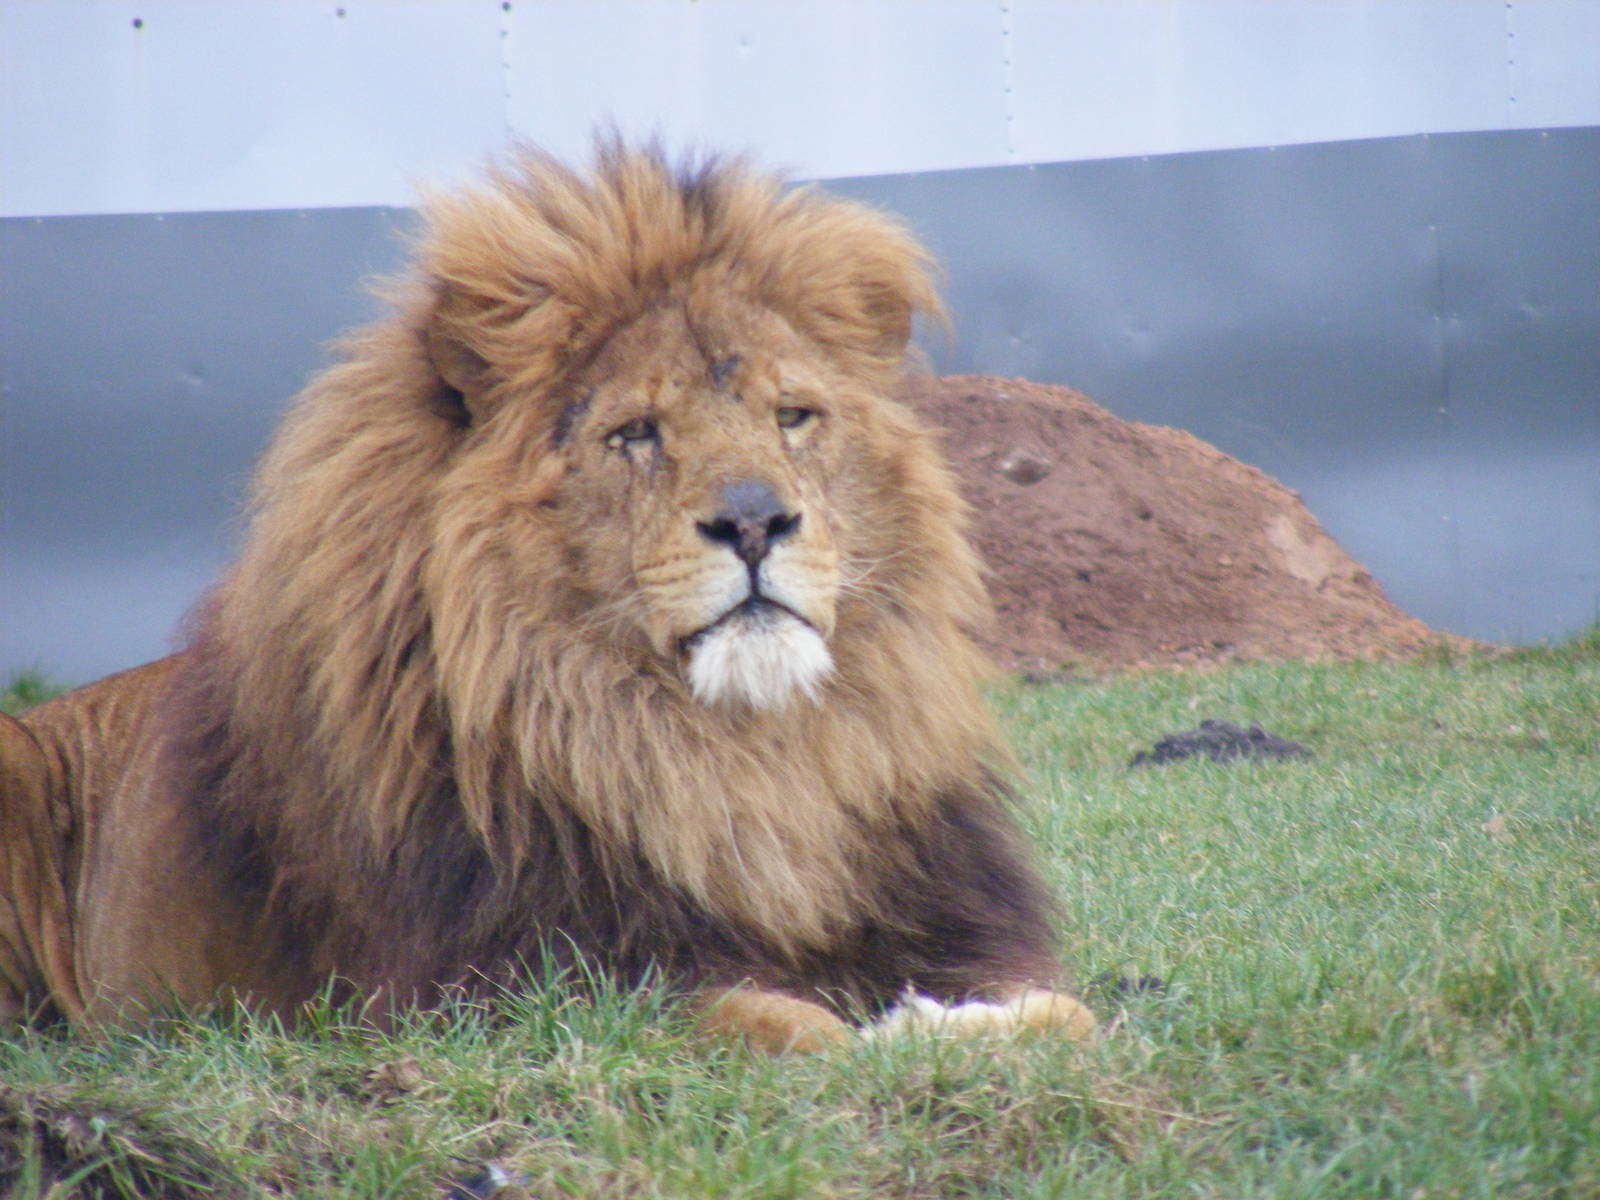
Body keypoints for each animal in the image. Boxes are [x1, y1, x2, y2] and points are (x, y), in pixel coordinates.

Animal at [0, 144, 1094, 1052]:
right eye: (635, 433)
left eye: (793, 416)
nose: (755, 524)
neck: (742, 762)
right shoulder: (509, 983)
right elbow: (776, 1022)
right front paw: (875, 1044)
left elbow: (1072, 1017)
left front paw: (961, 1031)